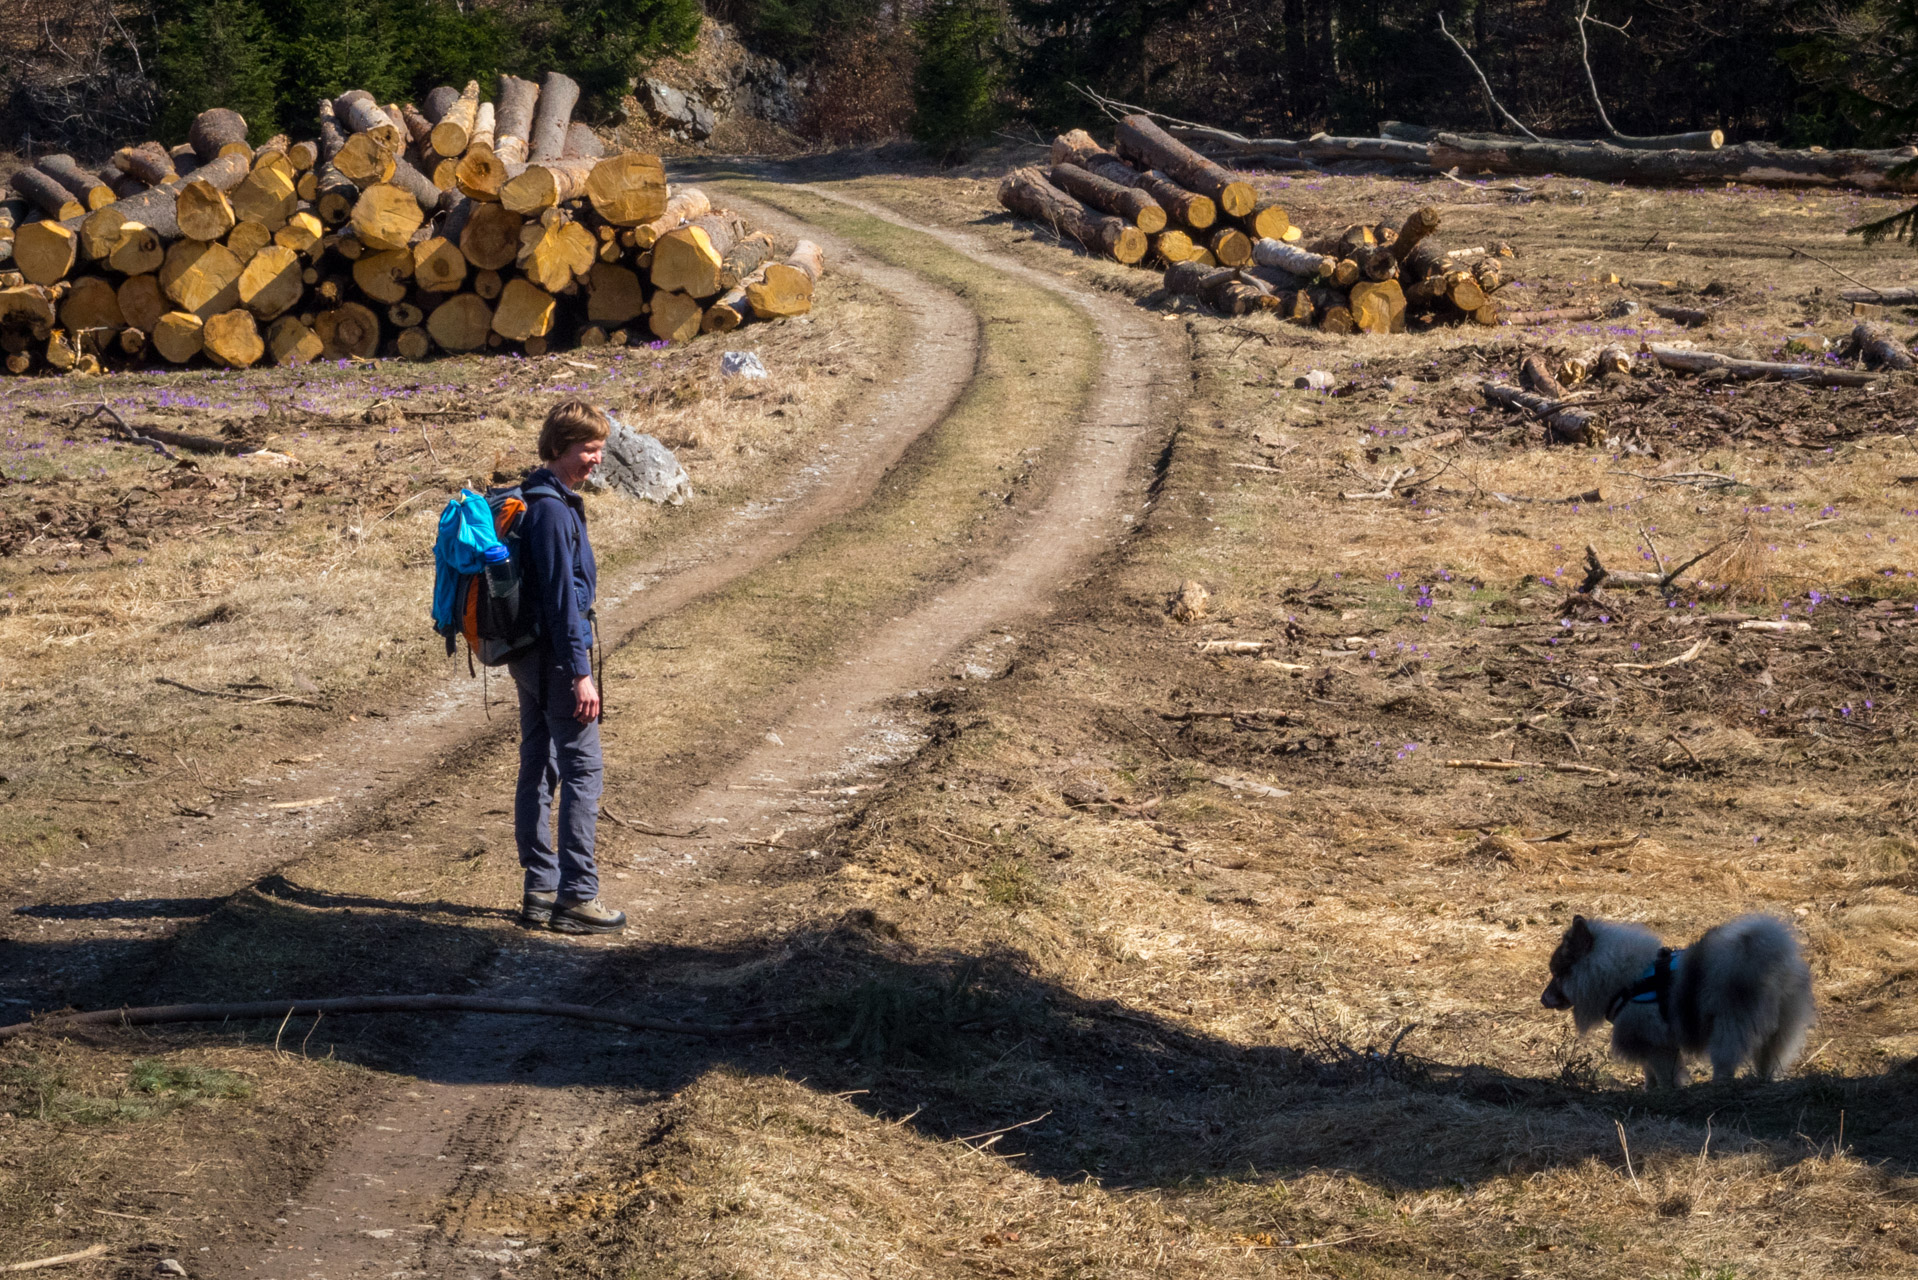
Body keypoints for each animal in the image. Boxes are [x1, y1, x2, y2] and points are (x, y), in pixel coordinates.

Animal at [1542, 917, 1810, 1090]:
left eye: (1557, 974)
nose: (1542, 999)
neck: (1627, 978)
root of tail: (1772, 961)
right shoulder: (1648, 1043)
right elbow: (1649, 1072)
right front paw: (1650, 1091)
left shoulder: (1656, 1044)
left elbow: (1663, 1074)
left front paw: (1668, 1092)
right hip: (1778, 1032)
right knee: (1769, 1061)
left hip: (1728, 1028)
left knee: (1725, 1063)